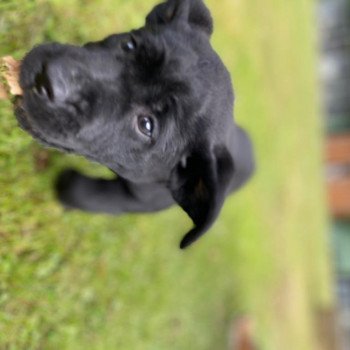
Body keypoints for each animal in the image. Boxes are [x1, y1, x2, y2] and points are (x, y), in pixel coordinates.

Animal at [15, 0, 254, 249]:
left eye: (146, 125)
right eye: (129, 44)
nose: (49, 78)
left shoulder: (137, 200)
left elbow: (90, 195)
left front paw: (67, 187)